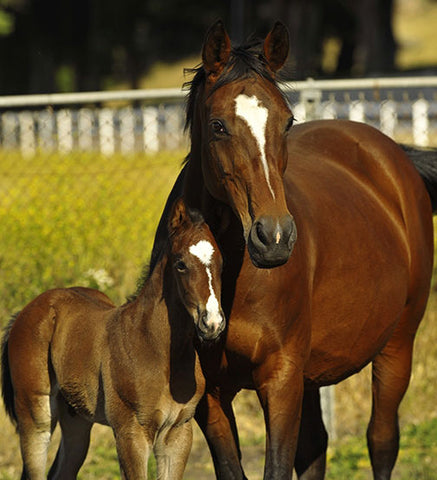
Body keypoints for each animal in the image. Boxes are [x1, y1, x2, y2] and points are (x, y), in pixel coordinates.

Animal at [0, 199, 225, 480]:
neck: (156, 349)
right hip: (35, 413)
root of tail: (25, 311)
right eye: (180, 264)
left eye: (221, 262)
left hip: (76, 419)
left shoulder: (178, 432)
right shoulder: (131, 432)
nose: (212, 323)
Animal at [148, 20, 436, 480]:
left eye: (287, 122)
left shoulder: (281, 380)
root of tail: (394, 157)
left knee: (382, 440)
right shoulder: (210, 395)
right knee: (316, 448)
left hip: (397, 345)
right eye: (218, 125)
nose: (275, 237)